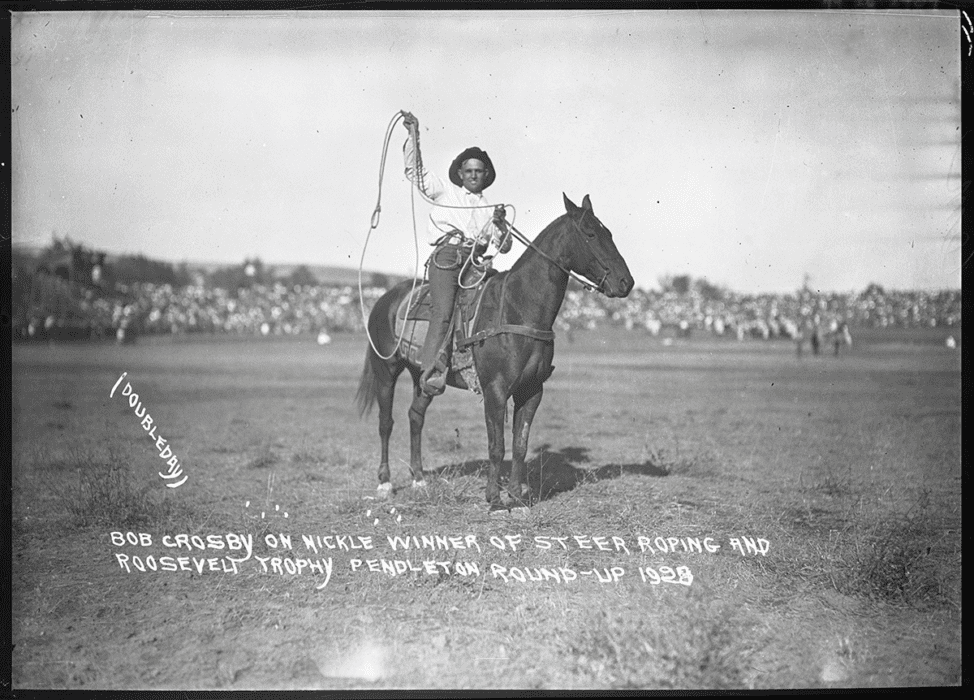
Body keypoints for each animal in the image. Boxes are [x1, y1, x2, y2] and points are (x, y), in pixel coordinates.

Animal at [354, 194, 636, 512]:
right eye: (590, 234)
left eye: (608, 232)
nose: (626, 283)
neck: (518, 307)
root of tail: (385, 300)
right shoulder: (495, 390)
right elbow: (497, 446)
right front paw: (495, 499)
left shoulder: (532, 390)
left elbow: (520, 444)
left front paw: (517, 496)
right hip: (385, 371)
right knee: (385, 423)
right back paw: (385, 483)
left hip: (423, 377)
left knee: (415, 416)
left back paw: (419, 479)